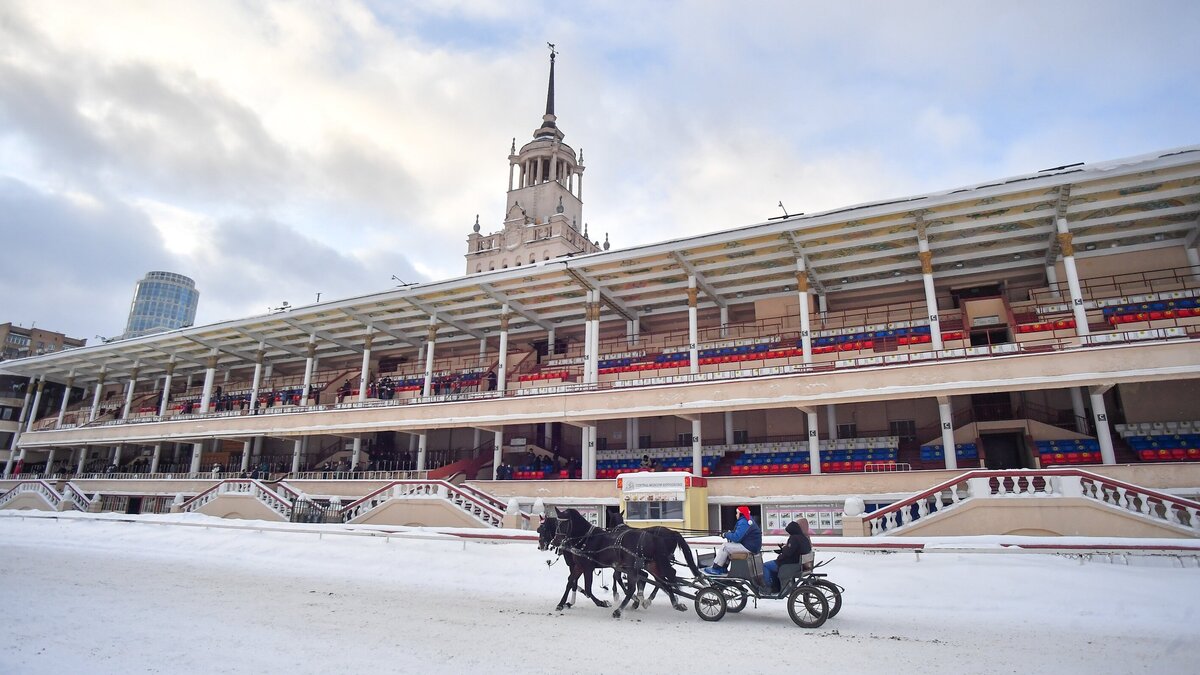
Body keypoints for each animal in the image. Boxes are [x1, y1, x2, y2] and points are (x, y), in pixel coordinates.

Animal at [547, 504, 700, 614]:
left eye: (564, 524)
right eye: (557, 524)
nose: (555, 541)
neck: (586, 539)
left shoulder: (588, 567)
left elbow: (589, 589)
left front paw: (603, 602)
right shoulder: (579, 566)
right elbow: (570, 582)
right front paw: (561, 604)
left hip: (642, 565)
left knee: (659, 580)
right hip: (652, 564)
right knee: (664, 579)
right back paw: (673, 602)